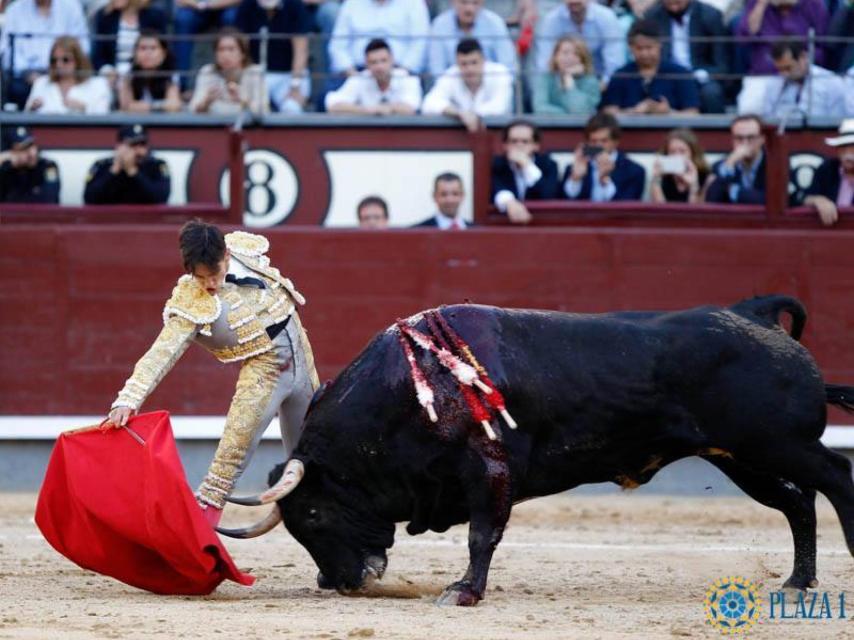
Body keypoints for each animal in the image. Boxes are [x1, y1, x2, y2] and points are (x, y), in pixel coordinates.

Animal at [222, 296, 854, 604]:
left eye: (313, 514)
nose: (338, 582)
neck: (412, 387)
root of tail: (757, 317)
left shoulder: (490, 469)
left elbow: (483, 534)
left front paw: (463, 592)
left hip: (778, 443)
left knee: (836, 476)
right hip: (743, 457)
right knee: (798, 504)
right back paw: (797, 582)